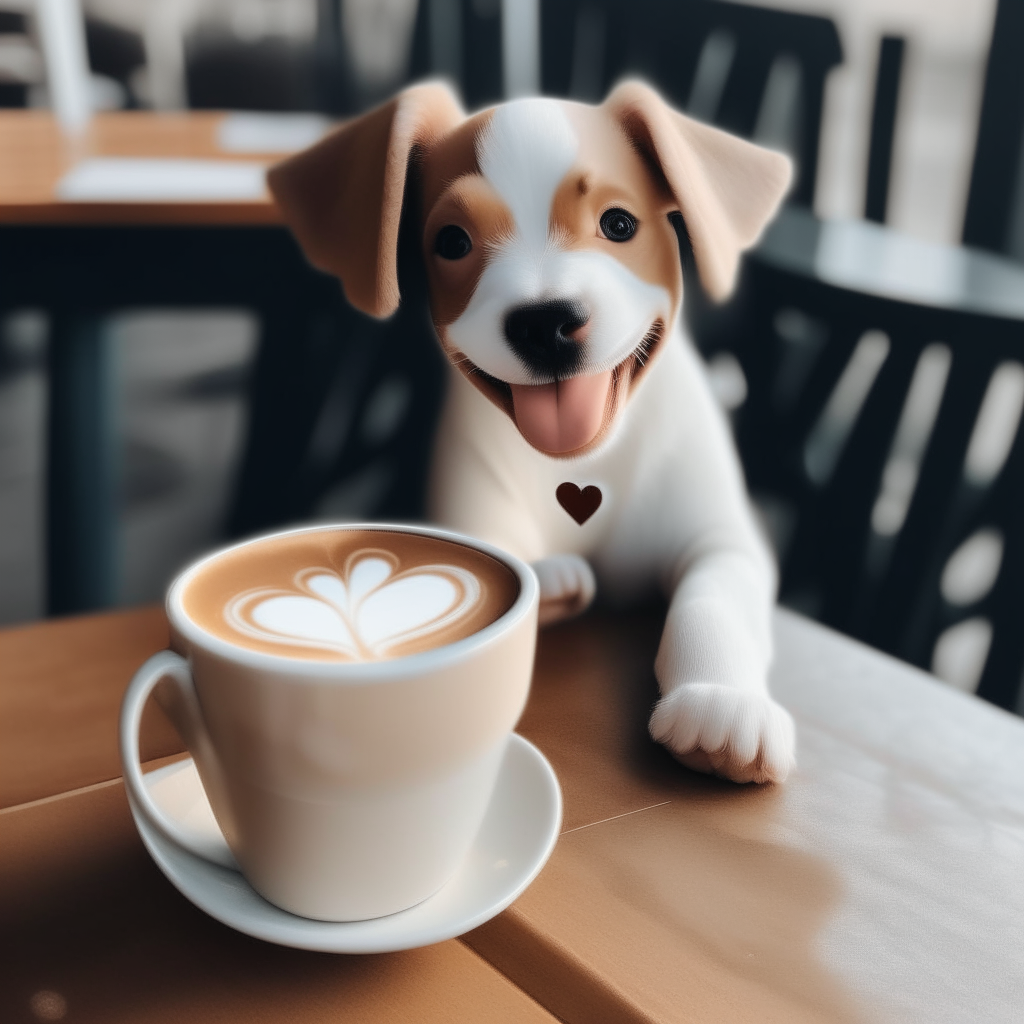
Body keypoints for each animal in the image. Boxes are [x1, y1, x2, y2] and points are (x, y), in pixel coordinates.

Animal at [268, 79, 794, 782]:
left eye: (619, 224)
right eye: (452, 241)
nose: (545, 322)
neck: (584, 469)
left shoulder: (721, 540)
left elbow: (714, 604)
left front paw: (721, 701)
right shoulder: (472, 514)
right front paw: (549, 582)